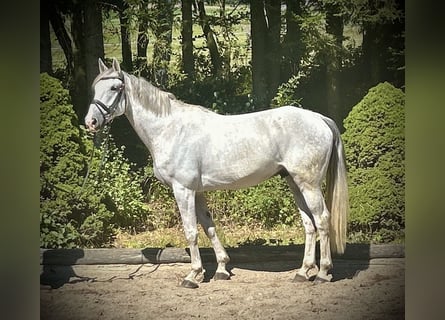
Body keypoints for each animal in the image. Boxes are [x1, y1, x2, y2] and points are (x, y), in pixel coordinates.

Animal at [86, 58, 350, 288]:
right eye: (94, 87)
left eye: (115, 87)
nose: (91, 122)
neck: (171, 129)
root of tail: (320, 118)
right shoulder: (197, 192)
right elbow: (209, 227)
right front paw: (221, 269)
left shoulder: (183, 190)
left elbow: (191, 231)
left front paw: (193, 275)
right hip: (295, 183)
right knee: (309, 224)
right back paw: (303, 272)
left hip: (309, 185)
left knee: (322, 220)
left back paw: (323, 273)